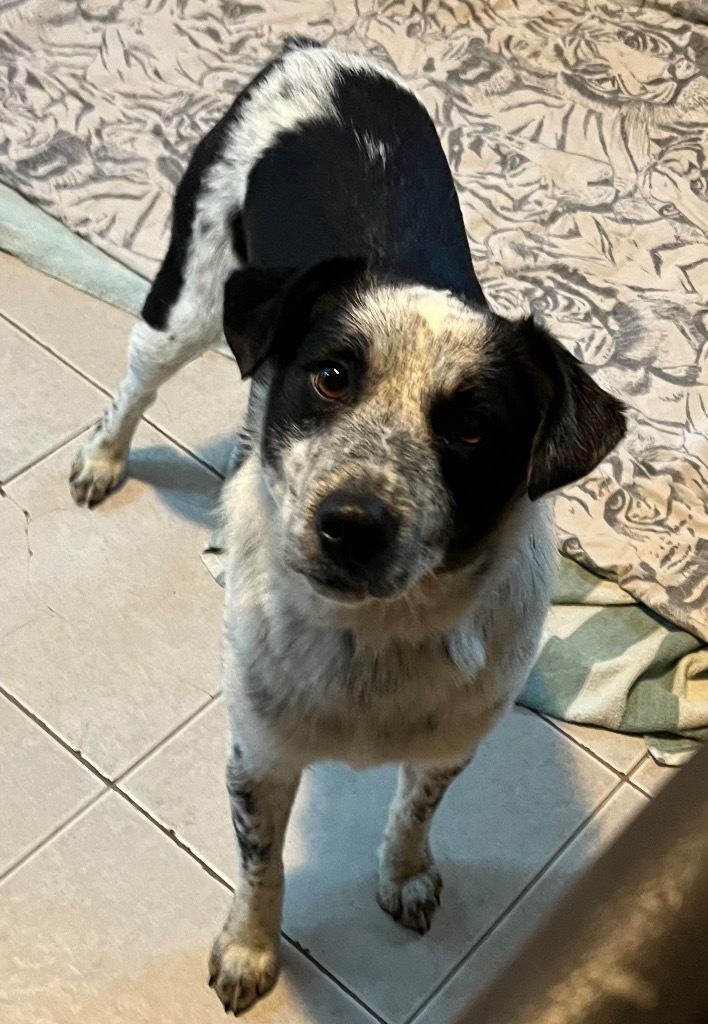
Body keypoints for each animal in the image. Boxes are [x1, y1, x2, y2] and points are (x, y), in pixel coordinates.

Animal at [72, 36, 627, 1011]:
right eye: (331, 375)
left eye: (472, 427)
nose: (352, 525)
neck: (377, 636)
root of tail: (319, 52)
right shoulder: (258, 755)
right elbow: (263, 870)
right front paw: (250, 951)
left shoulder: (451, 743)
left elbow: (414, 812)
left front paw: (403, 875)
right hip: (192, 296)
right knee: (137, 381)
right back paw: (105, 457)